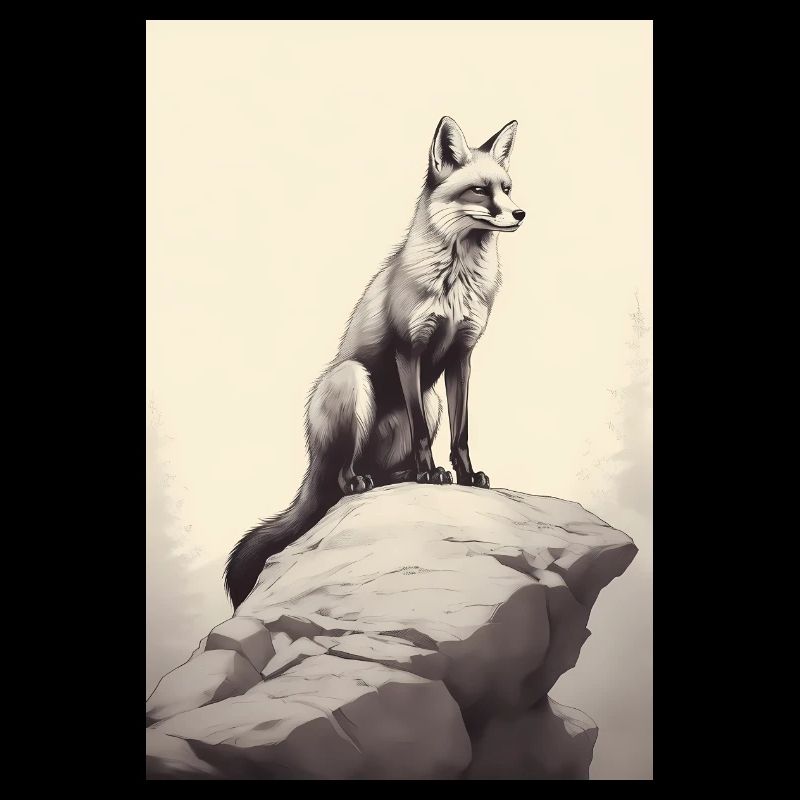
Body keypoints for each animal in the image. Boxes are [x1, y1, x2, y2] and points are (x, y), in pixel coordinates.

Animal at [225, 116, 526, 609]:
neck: (456, 278)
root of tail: (312, 458)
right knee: (344, 476)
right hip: (354, 380)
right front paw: (429, 472)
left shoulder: (461, 355)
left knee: (383, 471)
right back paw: (372, 479)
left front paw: (464, 475)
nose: (520, 214)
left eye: (508, 188)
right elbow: (421, 434)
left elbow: (461, 434)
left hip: (429, 398)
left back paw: (403, 474)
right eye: (481, 191)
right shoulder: (410, 350)